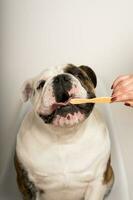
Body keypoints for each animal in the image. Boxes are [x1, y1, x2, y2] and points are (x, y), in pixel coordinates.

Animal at [14, 64, 114, 200]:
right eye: (41, 84)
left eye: (78, 74)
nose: (60, 78)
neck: (65, 136)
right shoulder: (28, 183)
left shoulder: (97, 181)